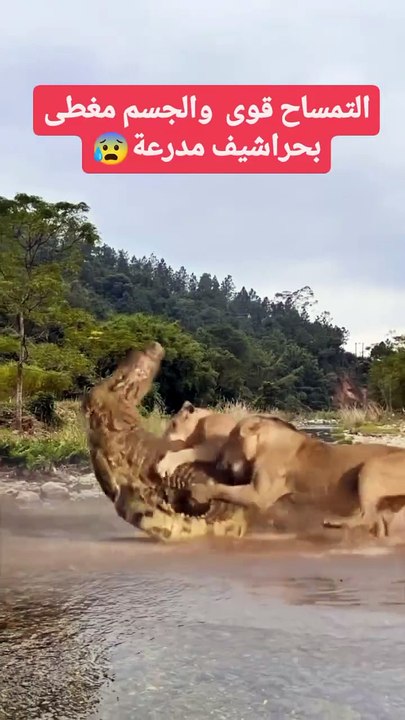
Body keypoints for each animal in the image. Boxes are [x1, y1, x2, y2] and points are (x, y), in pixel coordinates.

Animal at [190, 415, 403, 526]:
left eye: (229, 439)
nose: (218, 459)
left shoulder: (259, 495)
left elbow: (222, 488)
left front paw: (199, 490)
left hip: (370, 467)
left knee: (368, 517)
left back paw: (333, 522)